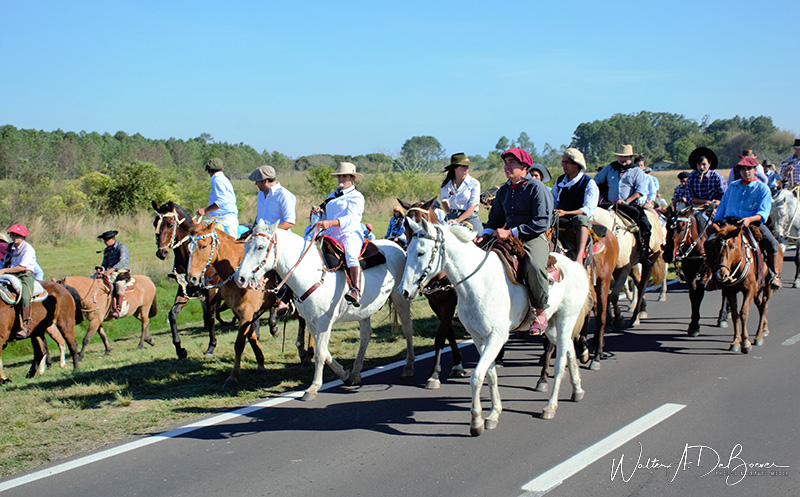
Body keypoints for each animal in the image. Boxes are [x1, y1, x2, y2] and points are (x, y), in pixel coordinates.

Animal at [185, 221, 276, 388]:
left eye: (203, 246)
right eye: (188, 247)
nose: (191, 279)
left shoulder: (247, 311)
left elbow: (239, 343)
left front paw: (233, 376)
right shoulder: (239, 312)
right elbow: (251, 337)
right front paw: (260, 363)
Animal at [234, 219, 416, 402]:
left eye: (260, 247)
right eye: (246, 245)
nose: (240, 278)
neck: (309, 273)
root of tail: (398, 247)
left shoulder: (324, 321)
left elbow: (320, 354)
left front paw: (313, 388)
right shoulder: (311, 321)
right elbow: (324, 352)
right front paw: (345, 375)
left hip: (400, 299)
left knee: (407, 329)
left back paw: (408, 366)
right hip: (363, 312)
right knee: (365, 336)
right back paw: (356, 373)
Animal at [396, 197, 466, 388]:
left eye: (422, 220)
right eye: (405, 223)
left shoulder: (449, 303)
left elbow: (440, 337)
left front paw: (434, 375)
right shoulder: (435, 304)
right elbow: (448, 332)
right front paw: (457, 364)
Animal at [398, 218, 592, 434]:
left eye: (421, 252)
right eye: (407, 250)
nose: (403, 291)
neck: (478, 282)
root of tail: (576, 266)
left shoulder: (497, 337)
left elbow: (477, 376)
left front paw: (476, 421)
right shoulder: (479, 338)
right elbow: (490, 375)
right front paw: (493, 414)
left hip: (566, 318)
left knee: (560, 361)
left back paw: (550, 406)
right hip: (551, 326)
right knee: (569, 350)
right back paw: (577, 389)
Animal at [664, 203, 732, 336]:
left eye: (682, 227)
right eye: (666, 226)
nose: (667, 255)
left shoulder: (706, 271)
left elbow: (699, 294)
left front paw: (695, 325)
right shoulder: (689, 273)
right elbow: (693, 296)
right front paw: (693, 323)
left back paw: (723, 317)